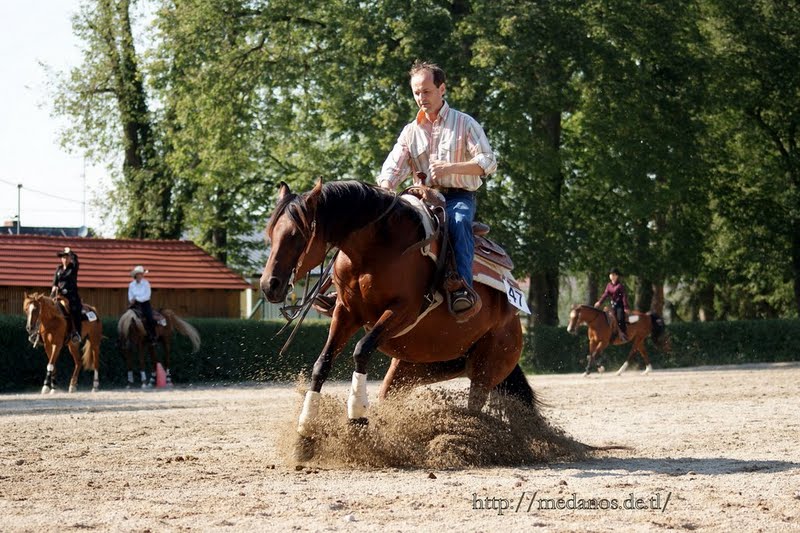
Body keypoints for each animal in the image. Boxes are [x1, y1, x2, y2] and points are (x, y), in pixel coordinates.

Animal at [262, 179, 536, 458]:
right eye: (270, 233)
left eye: (296, 235)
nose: (269, 285)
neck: (374, 249)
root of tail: (514, 323)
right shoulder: (346, 312)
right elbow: (322, 363)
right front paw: (305, 433)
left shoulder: (403, 310)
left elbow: (361, 350)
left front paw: (357, 420)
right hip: (411, 370)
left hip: (486, 367)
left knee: (474, 405)